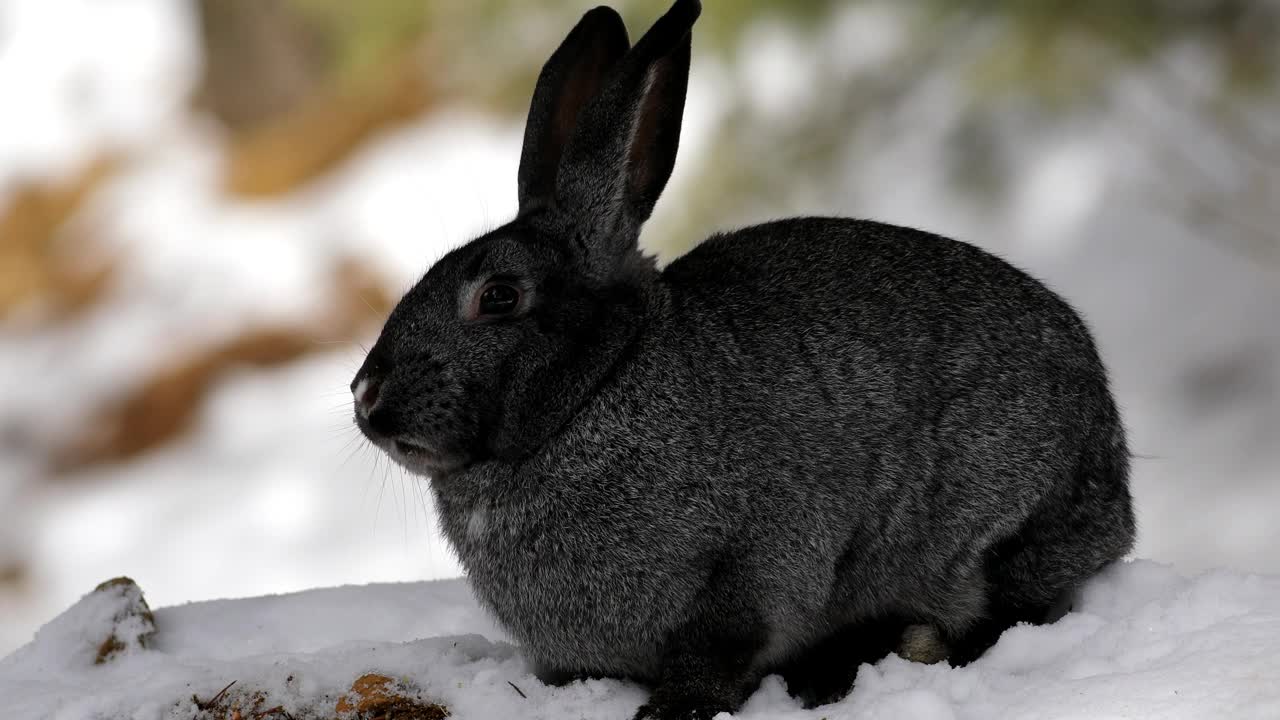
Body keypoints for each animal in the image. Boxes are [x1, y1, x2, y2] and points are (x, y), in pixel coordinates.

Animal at [353, 2, 1141, 712]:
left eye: (499, 296)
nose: (365, 393)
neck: (598, 389)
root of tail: (1110, 457)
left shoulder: (754, 570)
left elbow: (719, 650)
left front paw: (670, 710)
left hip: (994, 523)